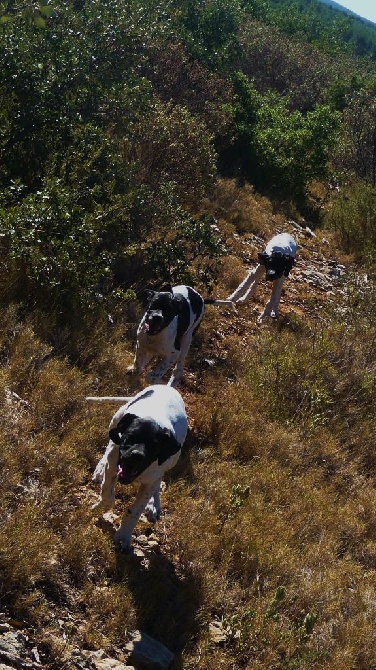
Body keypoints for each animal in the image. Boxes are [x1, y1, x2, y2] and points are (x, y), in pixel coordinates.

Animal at [91, 386, 188, 552]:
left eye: (154, 445)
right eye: (130, 436)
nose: (136, 455)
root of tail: (167, 386)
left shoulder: (151, 479)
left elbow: (135, 511)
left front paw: (123, 536)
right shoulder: (113, 466)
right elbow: (107, 494)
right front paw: (101, 505)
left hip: (171, 460)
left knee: (158, 480)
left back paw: (154, 503)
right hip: (116, 419)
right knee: (110, 443)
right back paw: (100, 468)